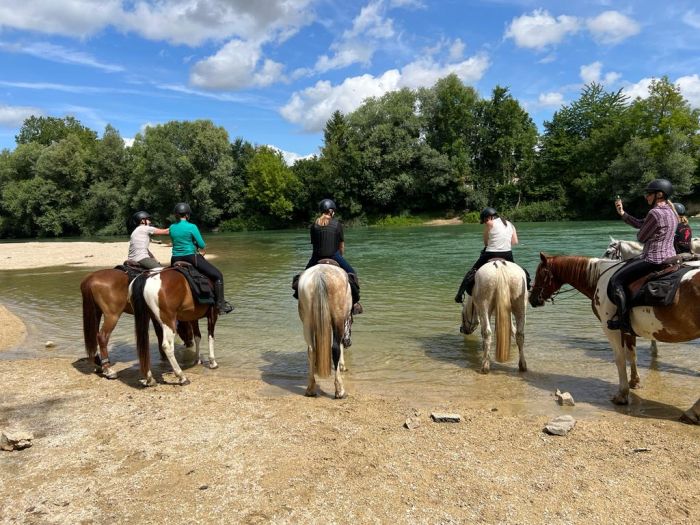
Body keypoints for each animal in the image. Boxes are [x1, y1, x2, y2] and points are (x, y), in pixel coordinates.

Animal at [296, 262, 352, 398]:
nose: (349, 343)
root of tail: (320, 275)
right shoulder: (343, 319)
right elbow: (339, 345)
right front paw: (342, 366)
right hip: (337, 317)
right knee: (335, 348)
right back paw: (339, 390)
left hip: (307, 321)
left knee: (311, 349)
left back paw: (310, 389)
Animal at [532, 252, 700, 424]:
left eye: (541, 274)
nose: (532, 299)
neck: (602, 277)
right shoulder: (628, 330)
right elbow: (632, 355)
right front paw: (634, 382)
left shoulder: (611, 330)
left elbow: (620, 360)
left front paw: (622, 395)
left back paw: (692, 412)